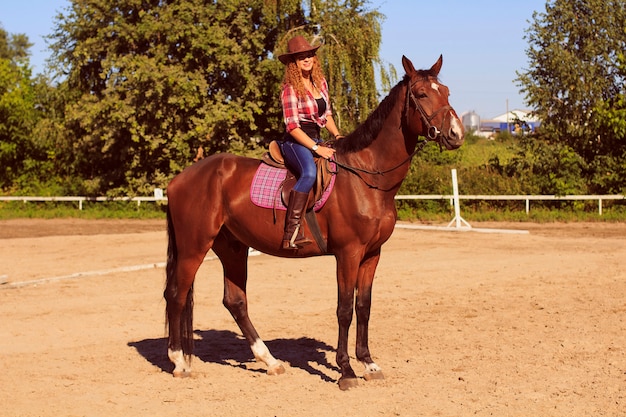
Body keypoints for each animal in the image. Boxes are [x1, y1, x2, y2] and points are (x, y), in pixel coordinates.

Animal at [163, 53, 466, 388]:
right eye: (422, 94)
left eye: (446, 91)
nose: (456, 134)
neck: (367, 177)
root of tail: (178, 180)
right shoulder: (348, 253)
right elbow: (345, 309)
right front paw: (346, 371)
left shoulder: (372, 254)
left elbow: (364, 306)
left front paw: (369, 363)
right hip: (194, 247)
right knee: (176, 295)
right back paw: (179, 362)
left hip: (232, 247)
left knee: (235, 301)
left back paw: (270, 361)